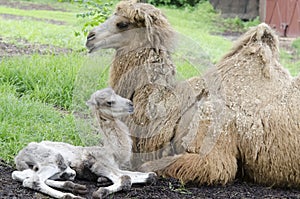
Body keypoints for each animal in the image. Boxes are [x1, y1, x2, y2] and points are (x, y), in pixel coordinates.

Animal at [11, 88, 157, 198]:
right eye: (109, 102)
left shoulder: (114, 166)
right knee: (32, 180)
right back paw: (71, 195)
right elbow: (125, 179)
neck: (113, 152)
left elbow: (151, 175)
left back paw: (76, 186)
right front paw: (101, 191)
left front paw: (101, 181)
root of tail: (19, 156)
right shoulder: (99, 164)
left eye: (116, 93)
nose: (130, 104)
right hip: (53, 158)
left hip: (51, 167)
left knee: (21, 175)